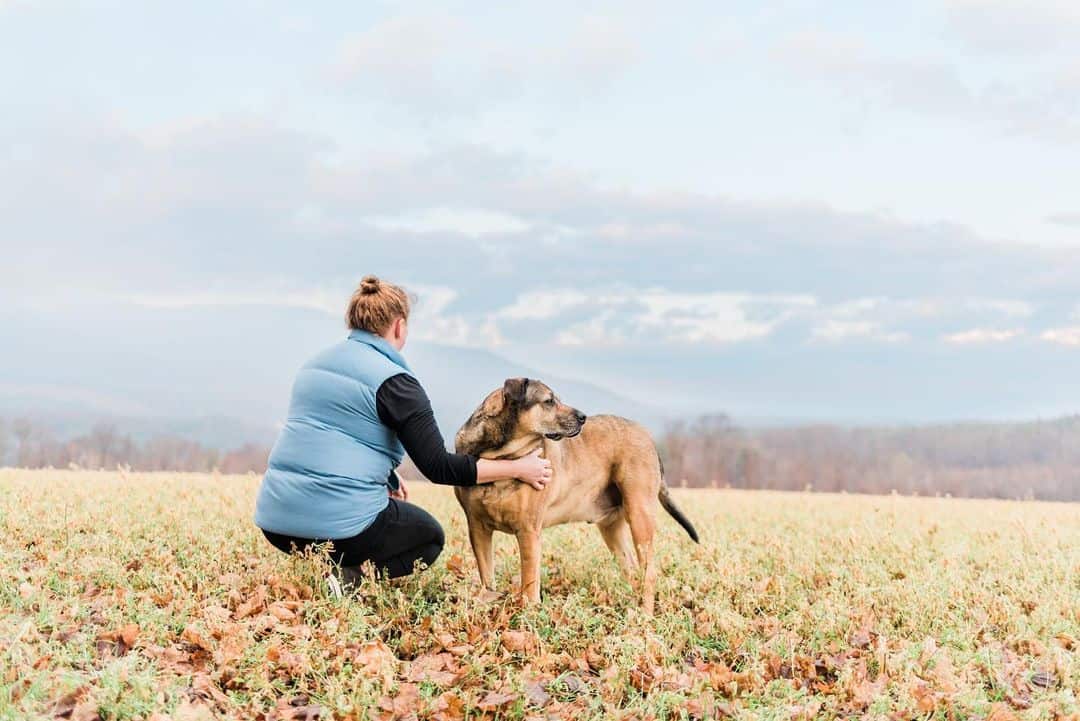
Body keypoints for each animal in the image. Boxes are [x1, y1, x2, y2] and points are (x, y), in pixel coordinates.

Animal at [449, 377, 695, 613]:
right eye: (549, 401)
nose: (583, 417)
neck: (499, 456)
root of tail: (648, 436)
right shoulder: (477, 528)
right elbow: (487, 576)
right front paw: (486, 603)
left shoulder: (528, 531)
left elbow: (529, 582)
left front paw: (528, 614)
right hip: (611, 528)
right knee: (632, 569)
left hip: (639, 514)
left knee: (649, 572)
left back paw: (644, 614)